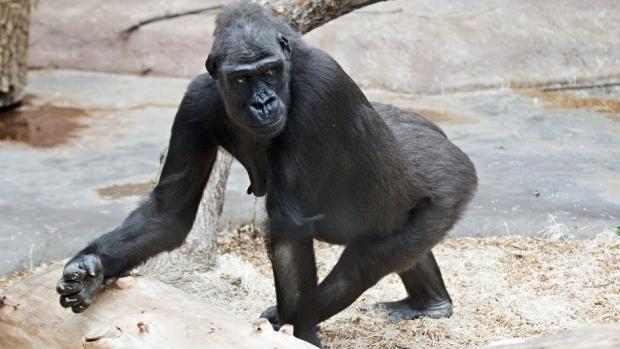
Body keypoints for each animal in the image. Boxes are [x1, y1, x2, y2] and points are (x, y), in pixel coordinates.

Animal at [55, 2, 478, 346]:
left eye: (271, 71)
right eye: (244, 78)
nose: (264, 102)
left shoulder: (319, 86)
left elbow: (289, 230)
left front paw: (301, 335)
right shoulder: (196, 99)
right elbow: (168, 214)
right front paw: (92, 270)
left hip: (447, 190)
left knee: (365, 263)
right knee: (399, 249)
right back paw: (430, 303)